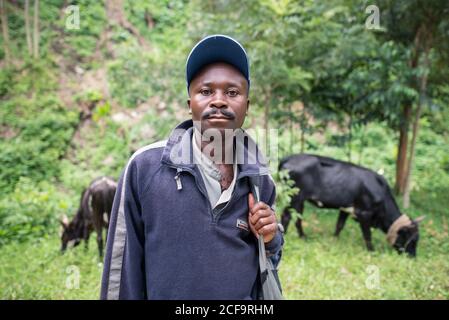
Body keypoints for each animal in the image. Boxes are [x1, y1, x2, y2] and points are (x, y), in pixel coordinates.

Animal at [278, 154, 422, 256]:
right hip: (294, 197)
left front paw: (334, 240)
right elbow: (367, 235)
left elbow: (339, 225)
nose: (412, 257)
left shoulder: (346, 208)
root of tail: (288, 157)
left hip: (299, 199)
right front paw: (372, 250)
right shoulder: (365, 213)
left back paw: (302, 236)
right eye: (412, 239)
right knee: (286, 216)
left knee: (297, 217)